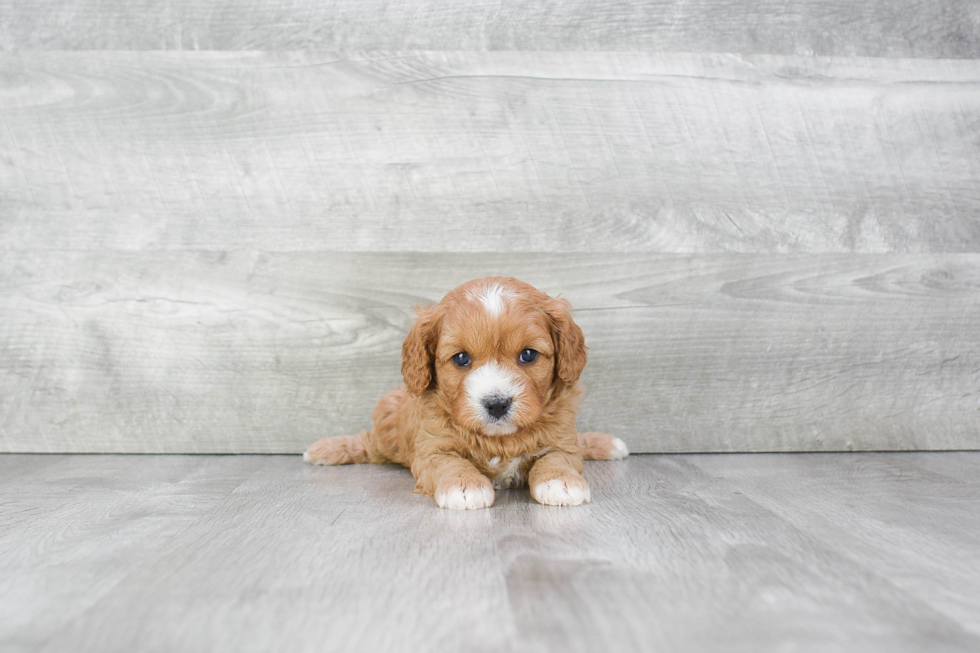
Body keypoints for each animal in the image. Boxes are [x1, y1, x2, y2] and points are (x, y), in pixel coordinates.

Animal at [302, 276, 632, 510]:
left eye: (528, 355)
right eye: (461, 358)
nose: (497, 404)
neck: (501, 440)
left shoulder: (561, 439)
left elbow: (558, 458)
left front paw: (562, 482)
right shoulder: (432, 448)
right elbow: (450, 462)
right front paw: (464, 487)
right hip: (389, 428)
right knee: (368, 443)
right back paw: (324, 449)